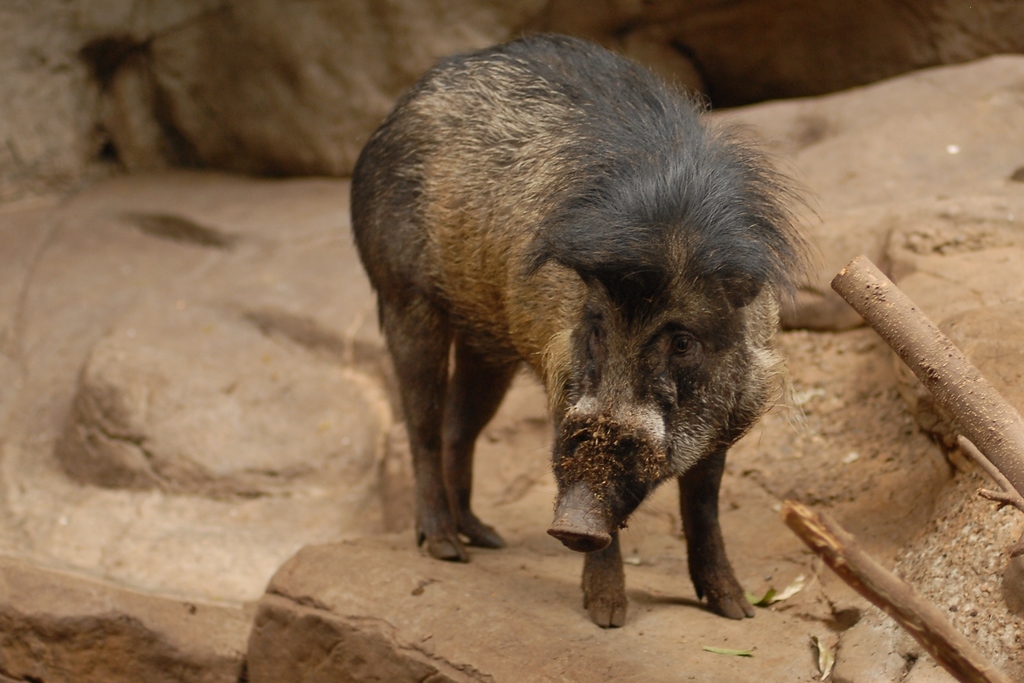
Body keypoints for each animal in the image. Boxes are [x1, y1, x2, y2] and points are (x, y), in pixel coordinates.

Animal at [351, 33, 807, 628]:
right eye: (595, 325)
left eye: (683, 341)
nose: (572, 525)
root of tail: (401, 106)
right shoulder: (560, 378)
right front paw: (608, 617)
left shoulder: (731, 416)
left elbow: (703, 506)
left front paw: (736, 611)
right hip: (403, 294)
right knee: (423, 425)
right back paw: (445, 548)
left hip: (485, 341)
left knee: (458, 428)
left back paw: (486, 538)